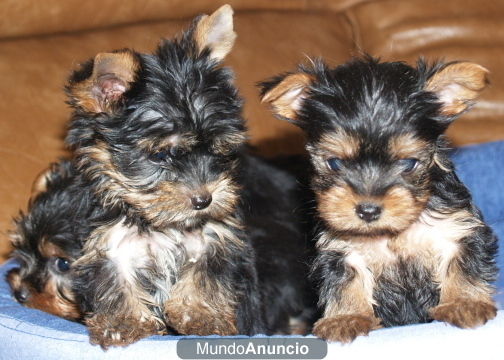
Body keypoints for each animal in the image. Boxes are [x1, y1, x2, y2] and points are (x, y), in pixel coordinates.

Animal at [65, 4, 314, 348]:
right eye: (159, 156)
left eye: (219, 148)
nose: (204, 200)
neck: (161, 224)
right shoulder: (110, 242)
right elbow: (115, 281)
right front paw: (124, 324)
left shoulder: (215, 238)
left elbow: (205, 274)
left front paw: (202, 315)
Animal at [262, 57, 498, 344]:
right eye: (335, 162)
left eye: (408, 163)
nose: (368, 210)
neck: (391, 232)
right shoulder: (342, 249)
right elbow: (345, 282)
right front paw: (346, 317)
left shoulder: (456, 228)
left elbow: (463, 264)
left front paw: (464, 303)